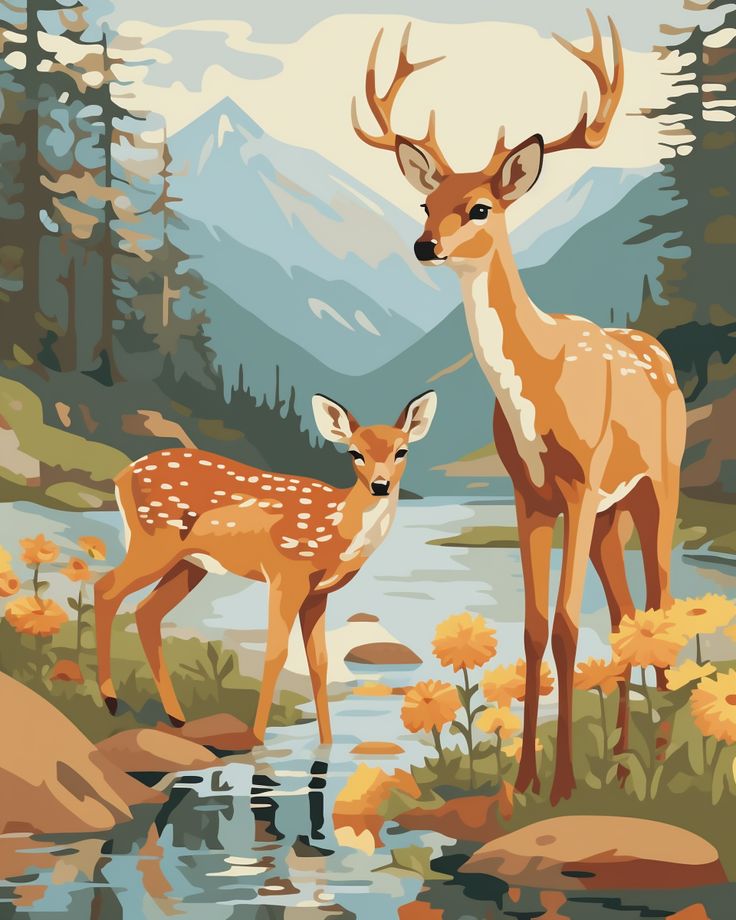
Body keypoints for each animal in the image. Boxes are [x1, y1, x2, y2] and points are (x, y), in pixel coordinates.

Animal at [94, 390, 437, 746]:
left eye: (402, 451)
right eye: (354, 453)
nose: (380, 485)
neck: (338, 529)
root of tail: (122, 476)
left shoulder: (319, 593)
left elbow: (320, 662)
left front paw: (326, 743)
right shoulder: (286, 573)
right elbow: (276, 653)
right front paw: (256, 737)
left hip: (190, 564)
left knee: (146, 611)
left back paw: (176, 717)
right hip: (152, 542)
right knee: (106, 588)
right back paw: (111, 700)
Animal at [352, 15, 686, 803]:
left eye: (481, 207)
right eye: (426, 203)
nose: (425, 245)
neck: (536, 390)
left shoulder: (582, 481)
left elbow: (565, 624)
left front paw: (561, 785)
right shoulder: (527, 490)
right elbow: (534, 626)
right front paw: (527, 779)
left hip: (658, 481)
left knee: (660, 601)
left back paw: (656, 760)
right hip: (612, 514)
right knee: (627, 614)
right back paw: (622, 763)